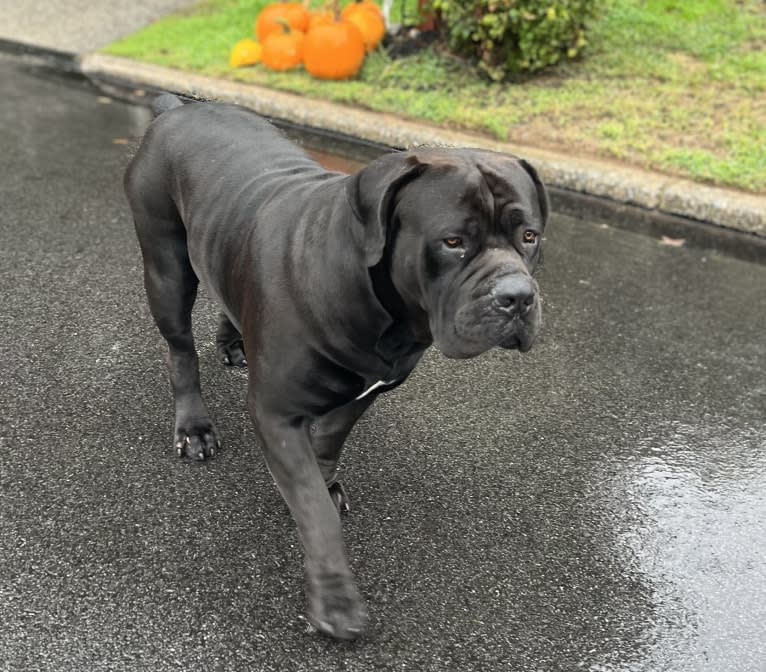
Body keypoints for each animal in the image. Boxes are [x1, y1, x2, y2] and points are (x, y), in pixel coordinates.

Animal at [123, 94, 548, 640]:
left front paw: (327, 481)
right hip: (166, 268)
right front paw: (335, 597)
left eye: (529, 235)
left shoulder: (367, 392)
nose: (517, 296)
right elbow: (313, 507)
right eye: (453, 242)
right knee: (181, 351)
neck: (386, 312)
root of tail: (176, 108)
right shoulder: (276, 413)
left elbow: (327, 445)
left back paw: (233, 339)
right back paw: (193, 426)